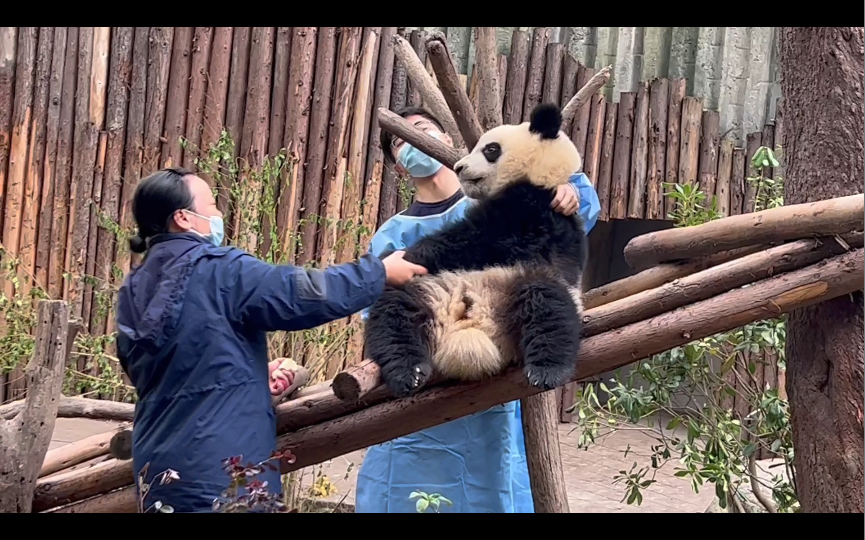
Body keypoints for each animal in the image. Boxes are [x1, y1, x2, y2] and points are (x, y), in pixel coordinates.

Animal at [364, 102, 588, 396]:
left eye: (490, 149)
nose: (459, 167)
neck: (544, 176)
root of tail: (473, 327)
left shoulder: (531, 212)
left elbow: (473, 238)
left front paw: (406, 254)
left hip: (522, 279)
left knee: (549, 306)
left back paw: (547, 370)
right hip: (430, 289)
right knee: (394, 312)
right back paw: (408, 372)